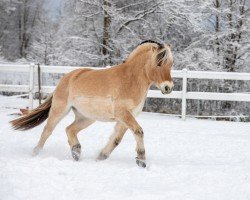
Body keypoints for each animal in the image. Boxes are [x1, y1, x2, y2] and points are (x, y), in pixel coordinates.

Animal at [10, 40, 174, 167]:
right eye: (159, 63)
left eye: (171, 64)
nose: (168, 87)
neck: (130, 79)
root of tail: (67, 77)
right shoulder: (123, 114)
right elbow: (138, 131)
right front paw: (141, 160)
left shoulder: (126, 117)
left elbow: (116, 139)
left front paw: (101, 157)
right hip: (60, 110)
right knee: (47, 131)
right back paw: (36, 152)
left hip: (86, 117)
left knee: (69, 129)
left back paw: (76, 152)